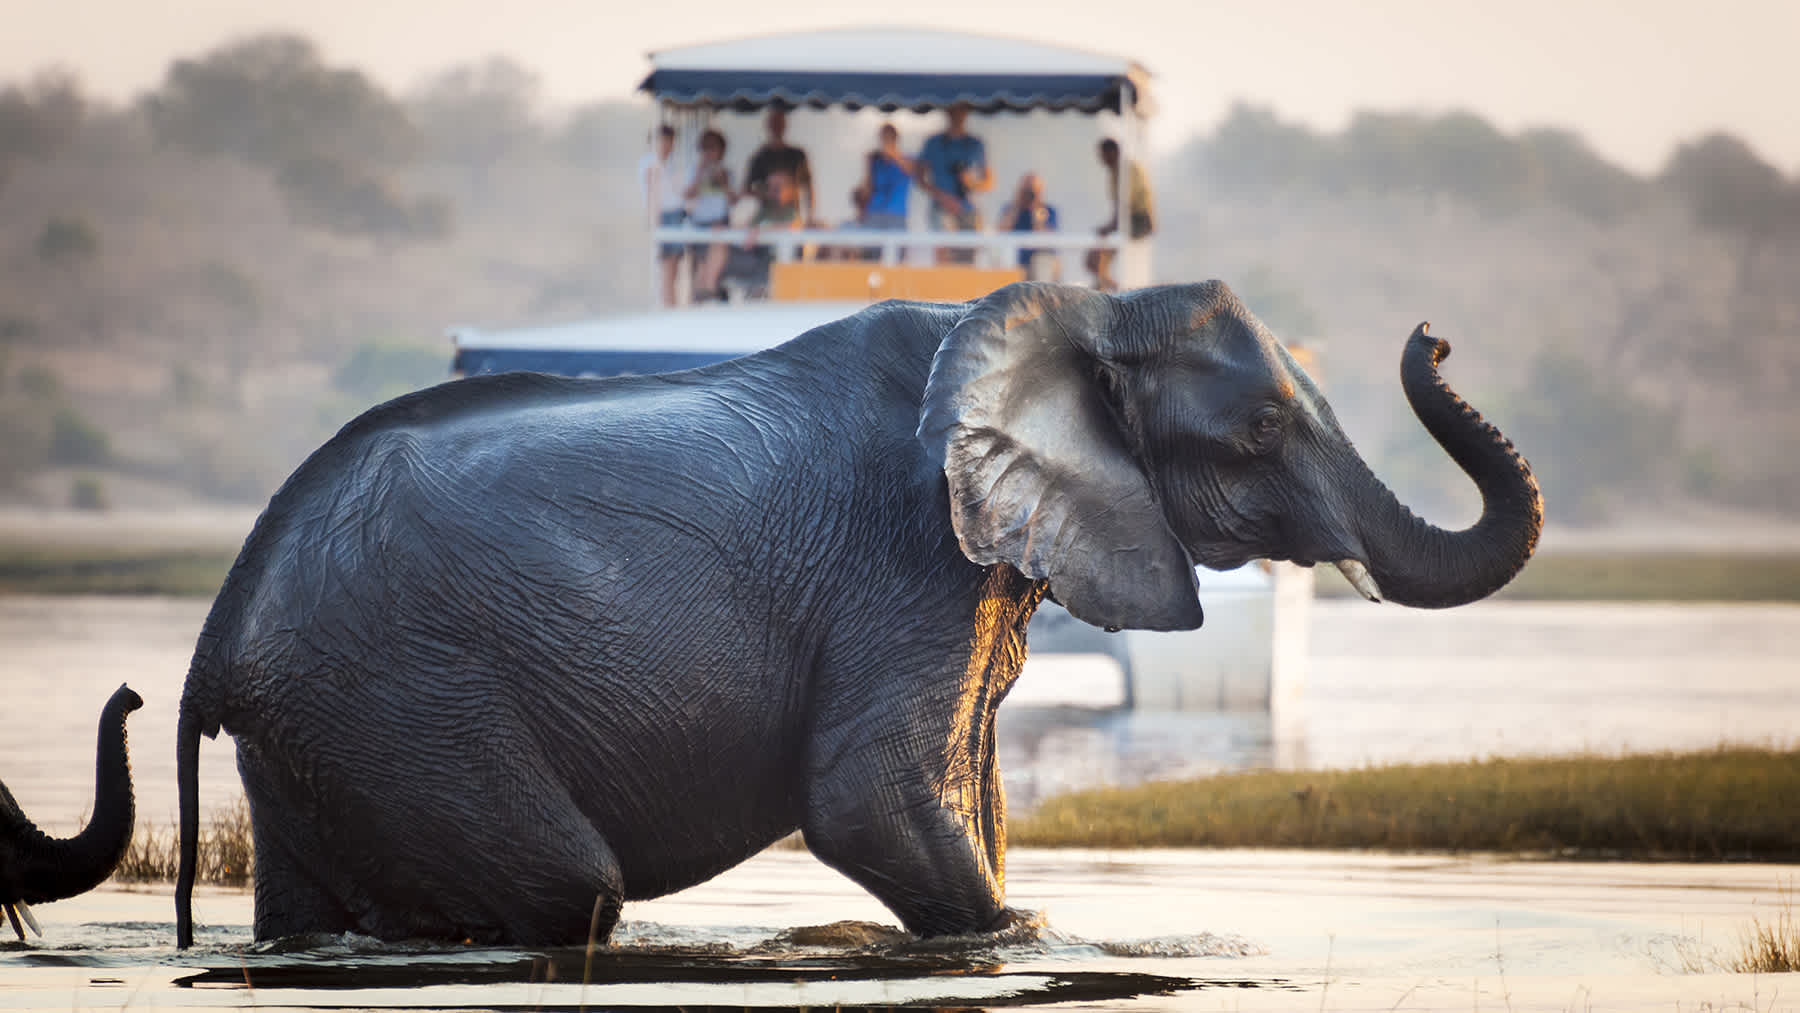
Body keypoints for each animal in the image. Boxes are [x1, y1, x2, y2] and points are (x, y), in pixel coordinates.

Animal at [175, 278, 1540, 950]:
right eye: (1259, 428)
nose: (1434, 334)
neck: (1065, 314)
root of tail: (218, 640)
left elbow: (970, 794)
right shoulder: (906, 556)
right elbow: (868, 795)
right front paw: (1023, 936)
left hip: (327, 729)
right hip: (403, 695)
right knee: (570, 885)